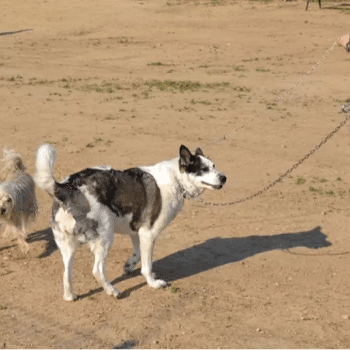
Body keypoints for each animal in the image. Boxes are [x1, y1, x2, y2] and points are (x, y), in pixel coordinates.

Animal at [34, 143, 227, 300]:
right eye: (203, 169)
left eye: (214, 166)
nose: (224, 177)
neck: (176, 179)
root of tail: (66, 188)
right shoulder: (149, 234)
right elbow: (147, 265)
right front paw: (153, 283)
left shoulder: (137, 230)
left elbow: (138, 254)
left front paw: (129, 265)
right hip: (105, 239)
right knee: (97, 270)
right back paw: (112, 291)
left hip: (67, 245)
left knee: (67, 273)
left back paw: (70, 296)